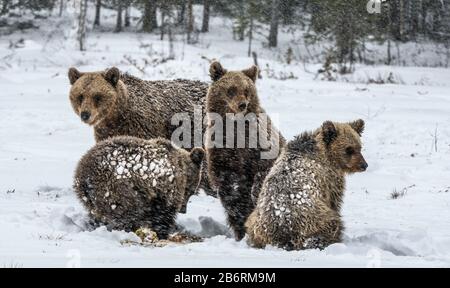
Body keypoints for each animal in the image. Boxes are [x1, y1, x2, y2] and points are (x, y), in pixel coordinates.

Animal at [67, 67, 214, 197]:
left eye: (97, 96)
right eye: (80, 96)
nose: (85, 114)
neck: (116, 117)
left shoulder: (142, 127)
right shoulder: (107, 133)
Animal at [74, 136, 205, 238]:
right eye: (190, 191)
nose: (183, 209)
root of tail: (85, 177)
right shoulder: (166, 190)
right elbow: (163, 215)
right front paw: (163, 232)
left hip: (89, 197)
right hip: (118, 188)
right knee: (127, 214)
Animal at [205, 61, 284, 241]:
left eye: (246, 90)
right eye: (231, 89)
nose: (242, 104)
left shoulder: (259, 146)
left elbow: (263, 170)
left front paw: (255, 192)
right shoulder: (221, 152)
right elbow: (228, 184)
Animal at [246, 119, 370, 250]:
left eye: (359, 147)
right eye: (348, 149)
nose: (364, 165)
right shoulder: (330, 181)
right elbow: (335, 202)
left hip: (255, 220)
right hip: (313, 218)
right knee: (331, 224)